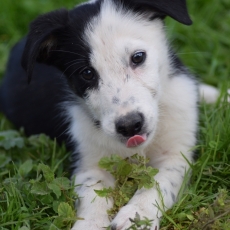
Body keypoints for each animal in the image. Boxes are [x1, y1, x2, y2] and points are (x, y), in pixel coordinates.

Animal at [0, 0, 223, 229]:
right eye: (87, 73)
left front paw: (137, 216)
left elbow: (159, 183)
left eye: (138, 57)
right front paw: (91, 224)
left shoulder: (176, 154)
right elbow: (93, 194)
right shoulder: (89, 161)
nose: (130, 125)